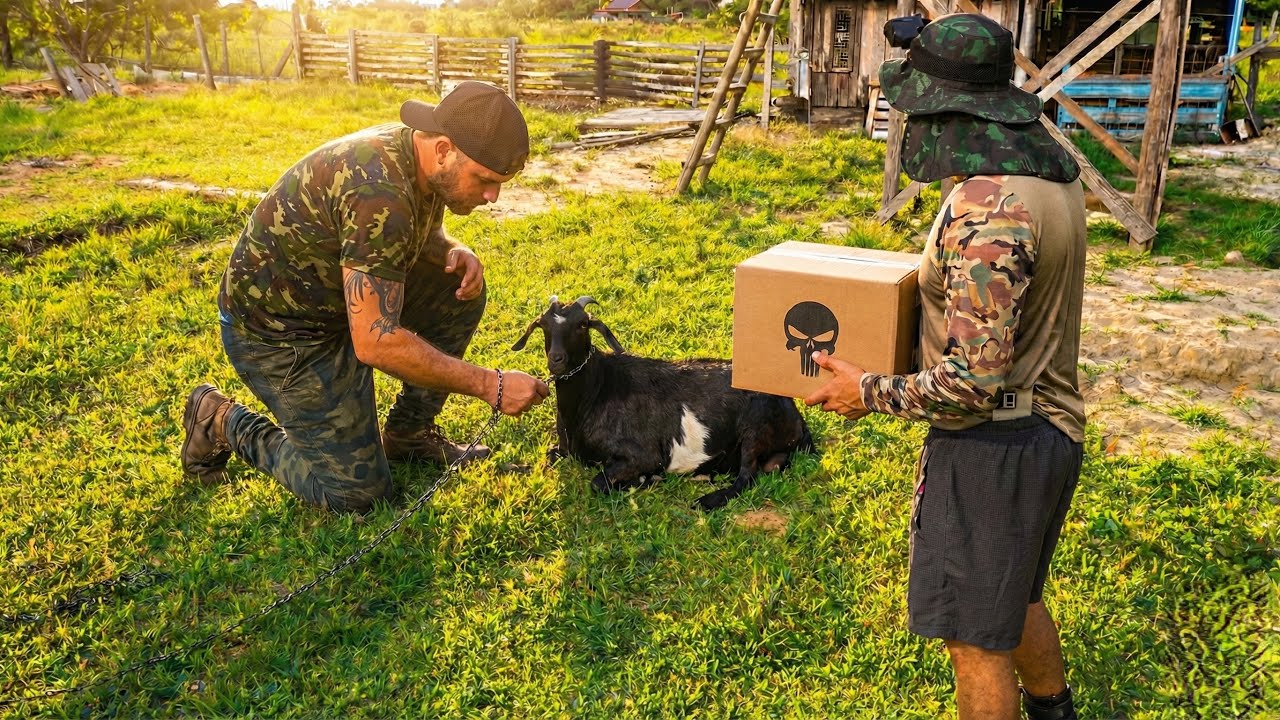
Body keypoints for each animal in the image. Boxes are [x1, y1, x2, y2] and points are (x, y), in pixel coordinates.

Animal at [511, 296, 813, 511]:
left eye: (582, 324)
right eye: (543, 325)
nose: (556, 359)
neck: (595, 392)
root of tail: (796, 416)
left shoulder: (644, 455)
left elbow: (598, 482)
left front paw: (644, 479)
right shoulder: (562, 450)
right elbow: (548, 456)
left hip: (755, 426)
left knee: (746, 476)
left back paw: (707, 500)